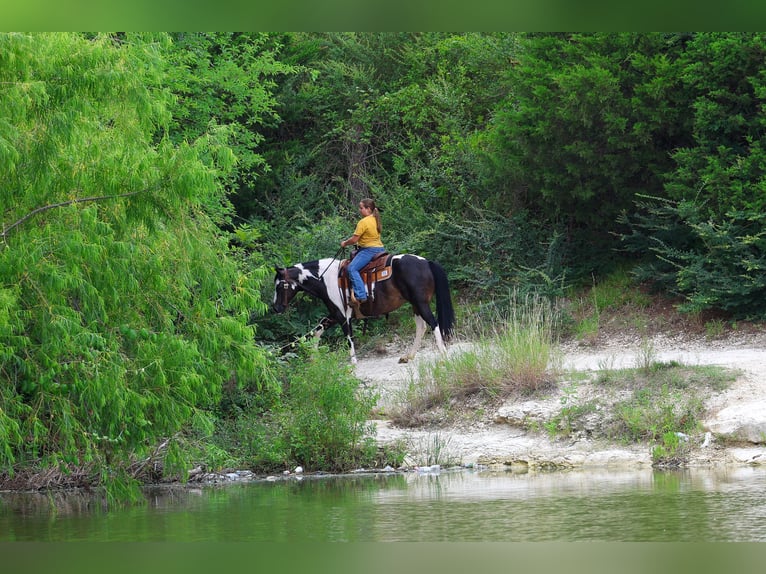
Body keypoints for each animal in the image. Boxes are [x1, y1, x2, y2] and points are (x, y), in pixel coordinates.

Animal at [272, 253, 455, 364]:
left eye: (279, 286)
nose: (276, 308)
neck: (325, 278)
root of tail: (426, 262)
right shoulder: (334, 314)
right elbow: (318, 329)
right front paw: (313, 356)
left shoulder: (342, 315)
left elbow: (348, 336)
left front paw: (353, 363)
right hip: (415, 304)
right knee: (421, 327)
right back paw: (408, 356)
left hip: (420, 303)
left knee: (433, 323)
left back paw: (443, 354)